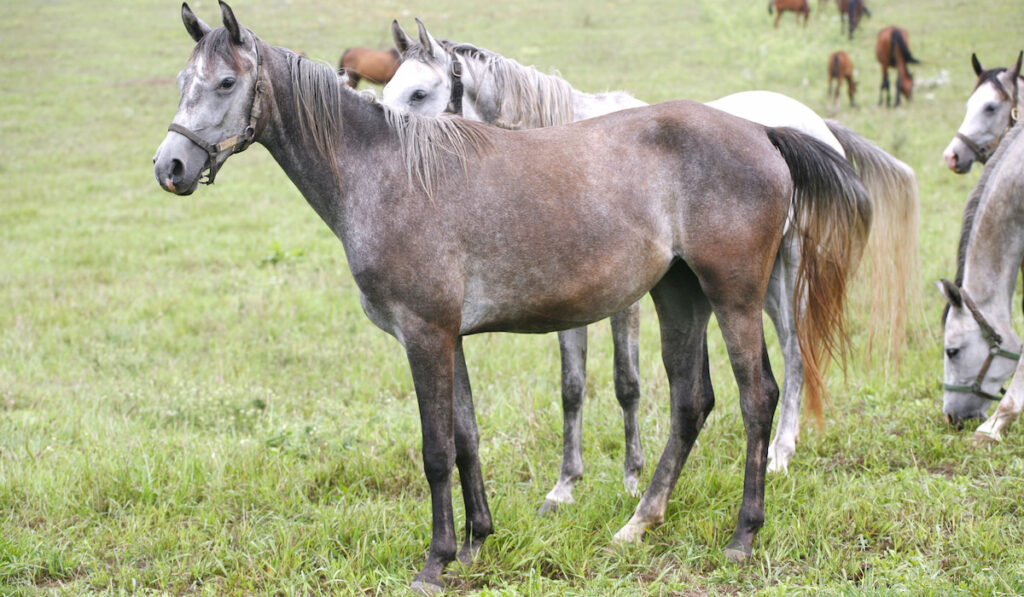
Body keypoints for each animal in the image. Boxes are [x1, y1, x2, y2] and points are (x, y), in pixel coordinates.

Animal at [153, 3, 864, 593]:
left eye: (226, 83)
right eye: (184, 81)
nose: (170, 168)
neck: (387, 172)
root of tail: (760, 131)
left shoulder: (425, 335)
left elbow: (435, 450)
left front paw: (436, 562)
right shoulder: (449, 338)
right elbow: (467, 438)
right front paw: (475, 543)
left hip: (734, 295)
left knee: (758, 396)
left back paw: (743, 534)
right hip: (678, 295)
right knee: (692, 401)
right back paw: (639, 521)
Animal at [382, 19, 921, 499]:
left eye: (418, 94)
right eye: (387, 89)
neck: (571, 150)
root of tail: (806, 126)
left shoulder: (627, 303)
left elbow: (628, 383)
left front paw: (631, 478)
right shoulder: (569, 306)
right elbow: (572, 387)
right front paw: (564, 486)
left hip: (787, 272)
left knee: (793, 349)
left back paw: (781, 452)